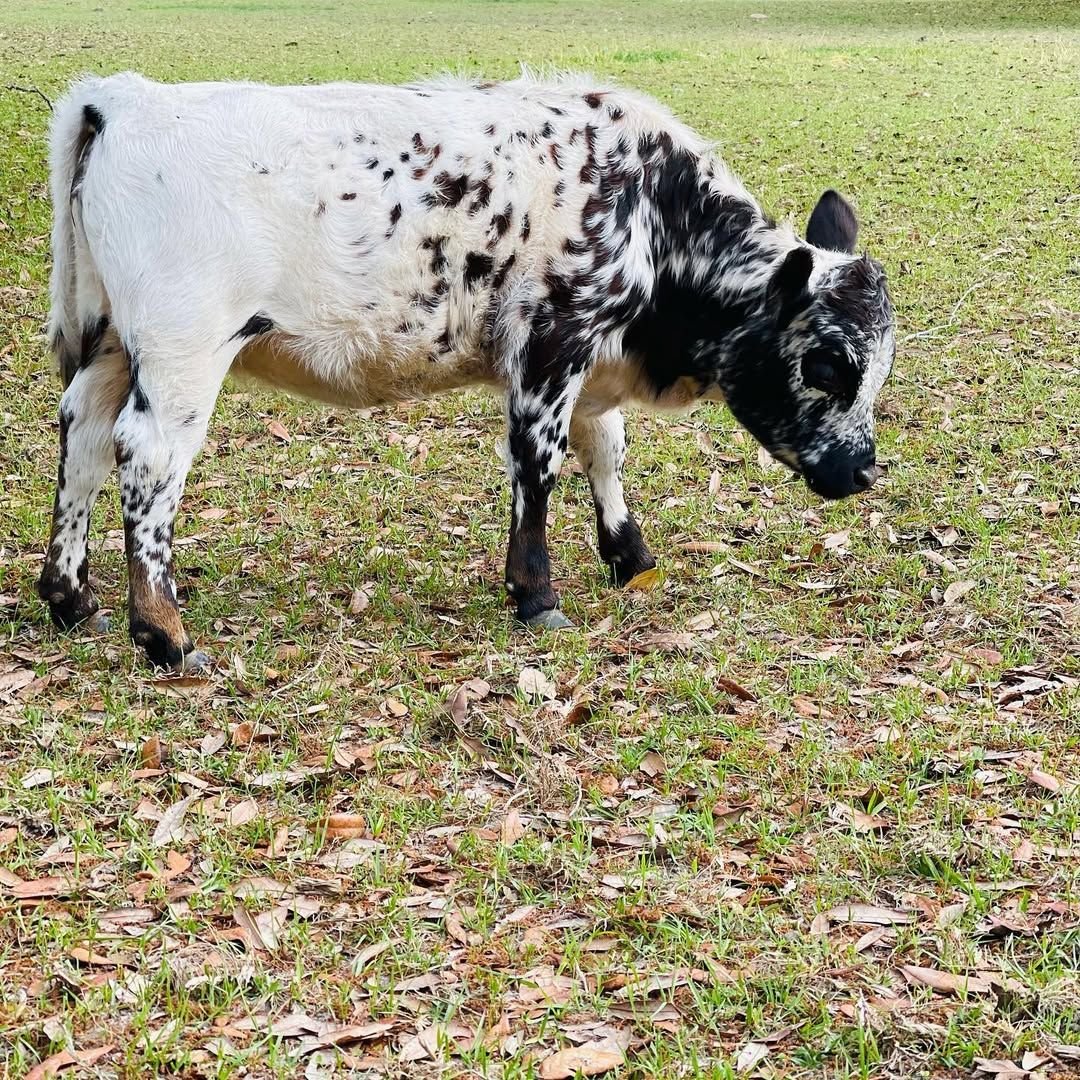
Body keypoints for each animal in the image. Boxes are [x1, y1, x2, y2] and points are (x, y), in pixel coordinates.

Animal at [38, 71, 895, 672]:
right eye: (826, 363)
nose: (862, 472)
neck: (648, 209)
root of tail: (123, 98)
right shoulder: (550, 347)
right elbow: (538, 468)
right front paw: (537, 594)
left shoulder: (591, 359)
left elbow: (605, 450)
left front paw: (630, 556)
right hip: (182, 353)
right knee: (148, 458)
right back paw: (164, 634)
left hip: (113, 343)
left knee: (83, 436)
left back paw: (71, 597)